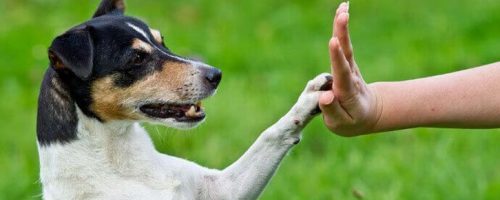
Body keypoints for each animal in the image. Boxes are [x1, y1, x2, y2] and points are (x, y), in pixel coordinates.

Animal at [38, 0, 332, 199]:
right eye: (137, 58)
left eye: (162, 41)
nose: (216, 75)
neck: (119, 160)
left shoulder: (224, 189)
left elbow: (270, 135)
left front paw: (310, 98)